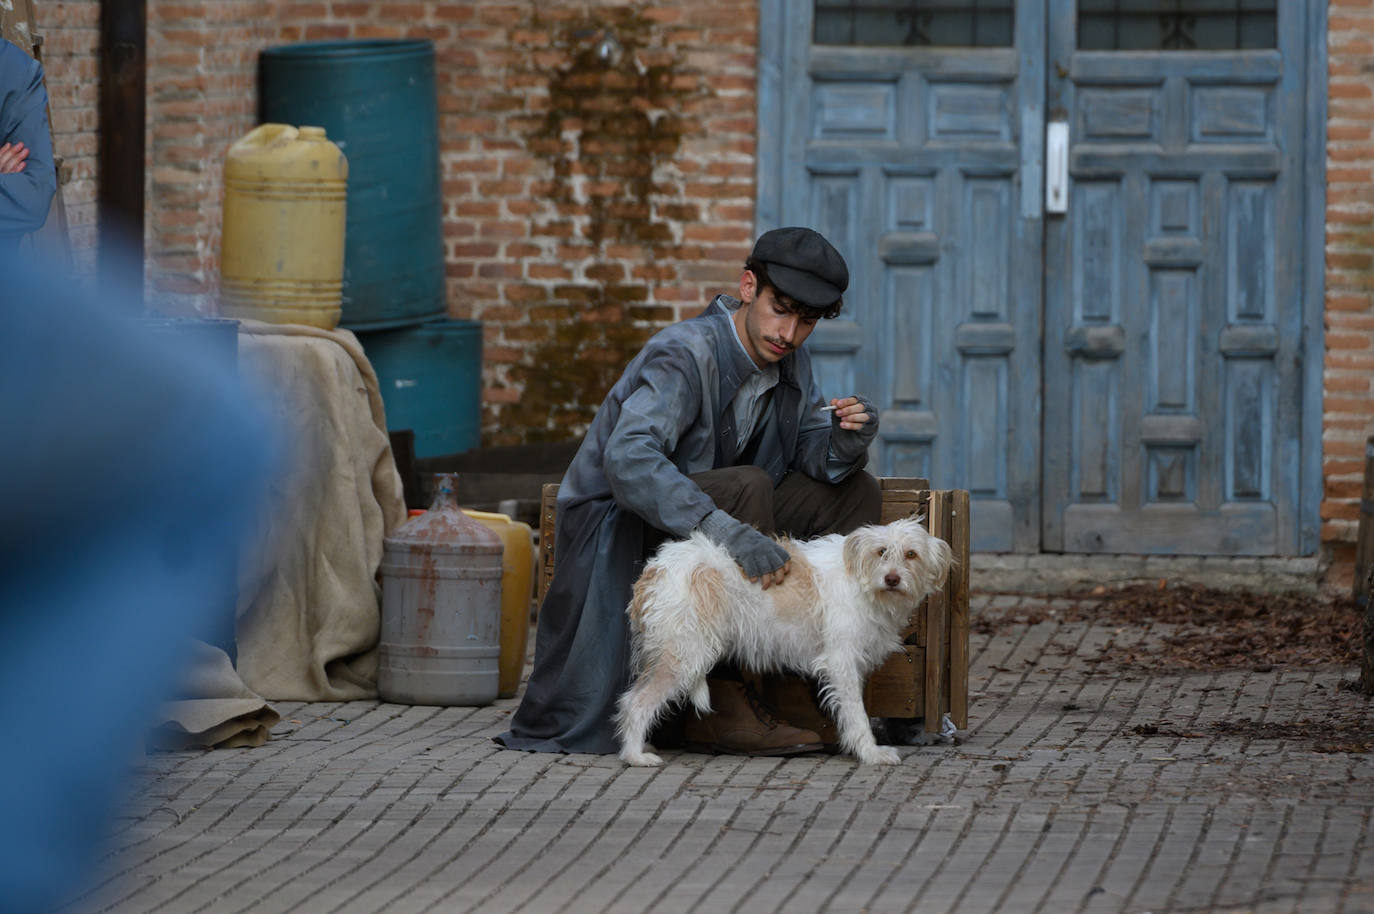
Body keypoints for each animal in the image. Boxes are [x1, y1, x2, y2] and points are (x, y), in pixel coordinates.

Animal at [621, 516, 956, 764]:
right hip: (684, 654)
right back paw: (635, 756)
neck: (861, 580)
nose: (892, 579)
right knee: (636, 702)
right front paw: (871, 753)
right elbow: (856, 713)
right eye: (881, 551)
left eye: (911, 554)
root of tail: (655, 569)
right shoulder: (841, 661)